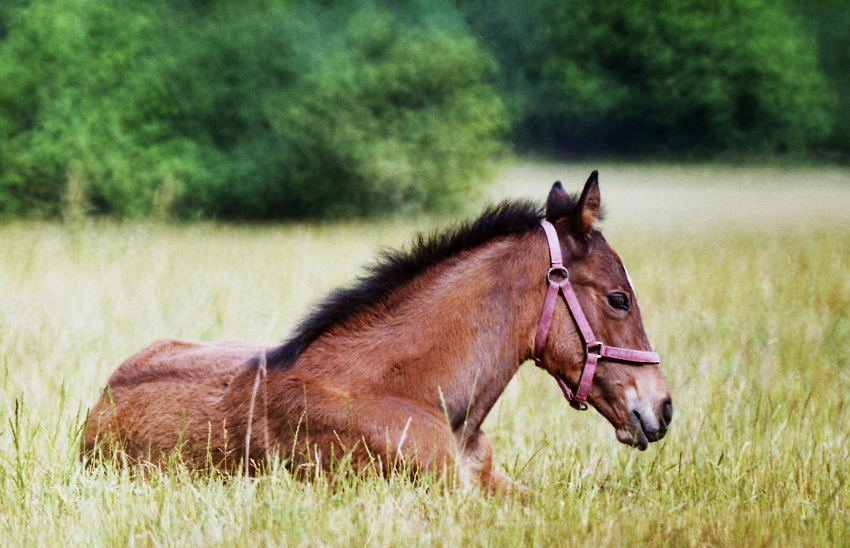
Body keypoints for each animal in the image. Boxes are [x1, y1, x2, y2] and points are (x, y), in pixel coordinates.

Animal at [83, 173, 672, 494]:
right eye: (618, 298)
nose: (662, 408)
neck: (408, 390)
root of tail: (100, 401)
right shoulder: (442, 495)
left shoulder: (491, 482)